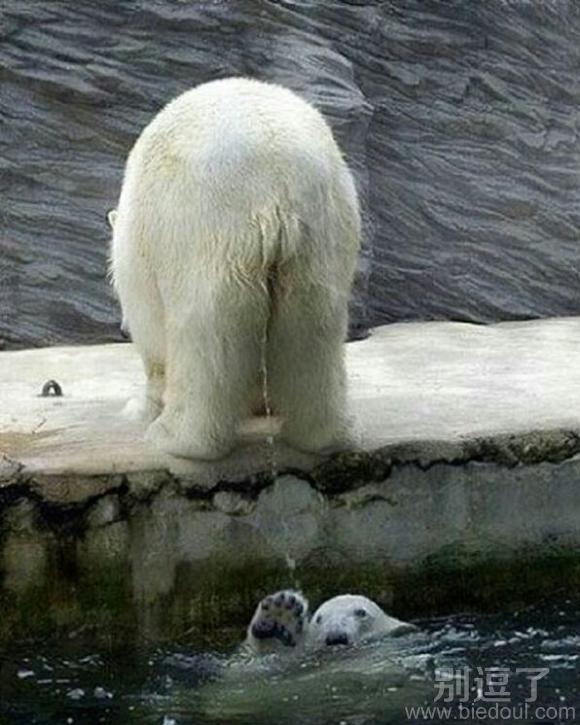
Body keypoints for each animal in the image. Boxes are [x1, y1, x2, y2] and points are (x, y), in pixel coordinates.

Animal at [109, 77, 361, 460]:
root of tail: (275, 184)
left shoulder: (143, 249)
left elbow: (151, 337)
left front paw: (139, 408)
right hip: (322, 236)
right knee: (313, 330)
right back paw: (323, 434)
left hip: (202, 230)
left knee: (205, 335)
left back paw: (176, 437)